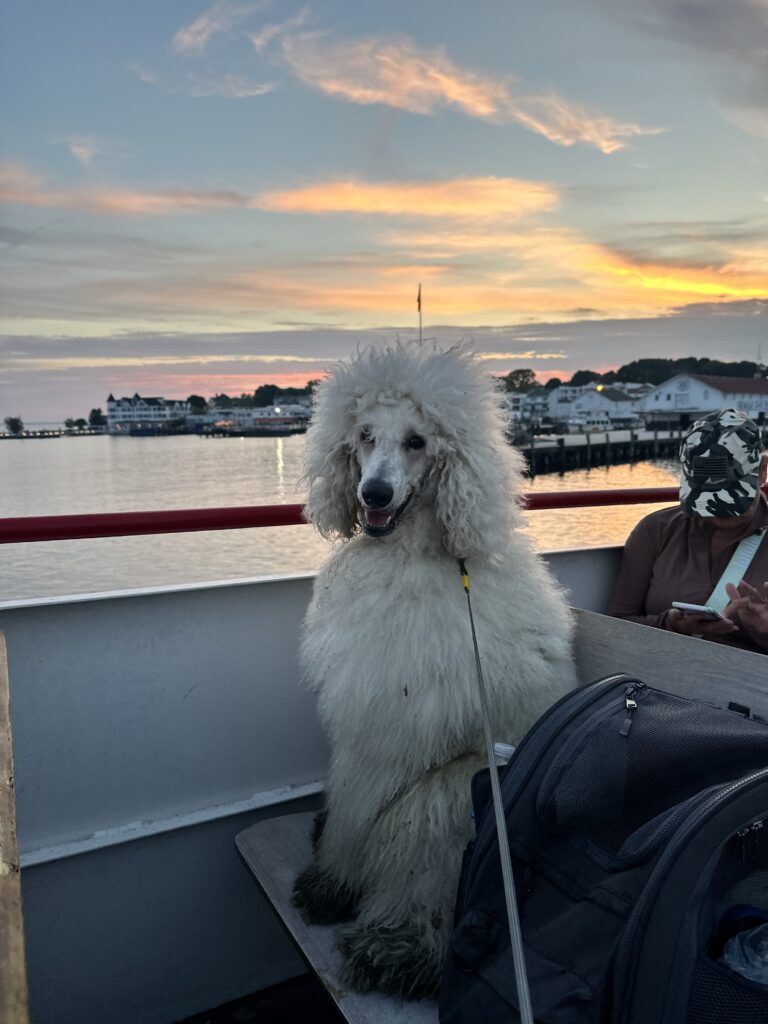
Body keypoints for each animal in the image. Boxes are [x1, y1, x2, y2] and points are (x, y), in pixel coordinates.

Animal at [293, 342, 577, 997]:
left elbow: (358, 812)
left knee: (421, 860)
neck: (418, 557)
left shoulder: (388, 733)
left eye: (418, 441)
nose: (372, 494)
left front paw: (335, 884)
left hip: (455, 793)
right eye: (364, 436)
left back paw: (398, 948)